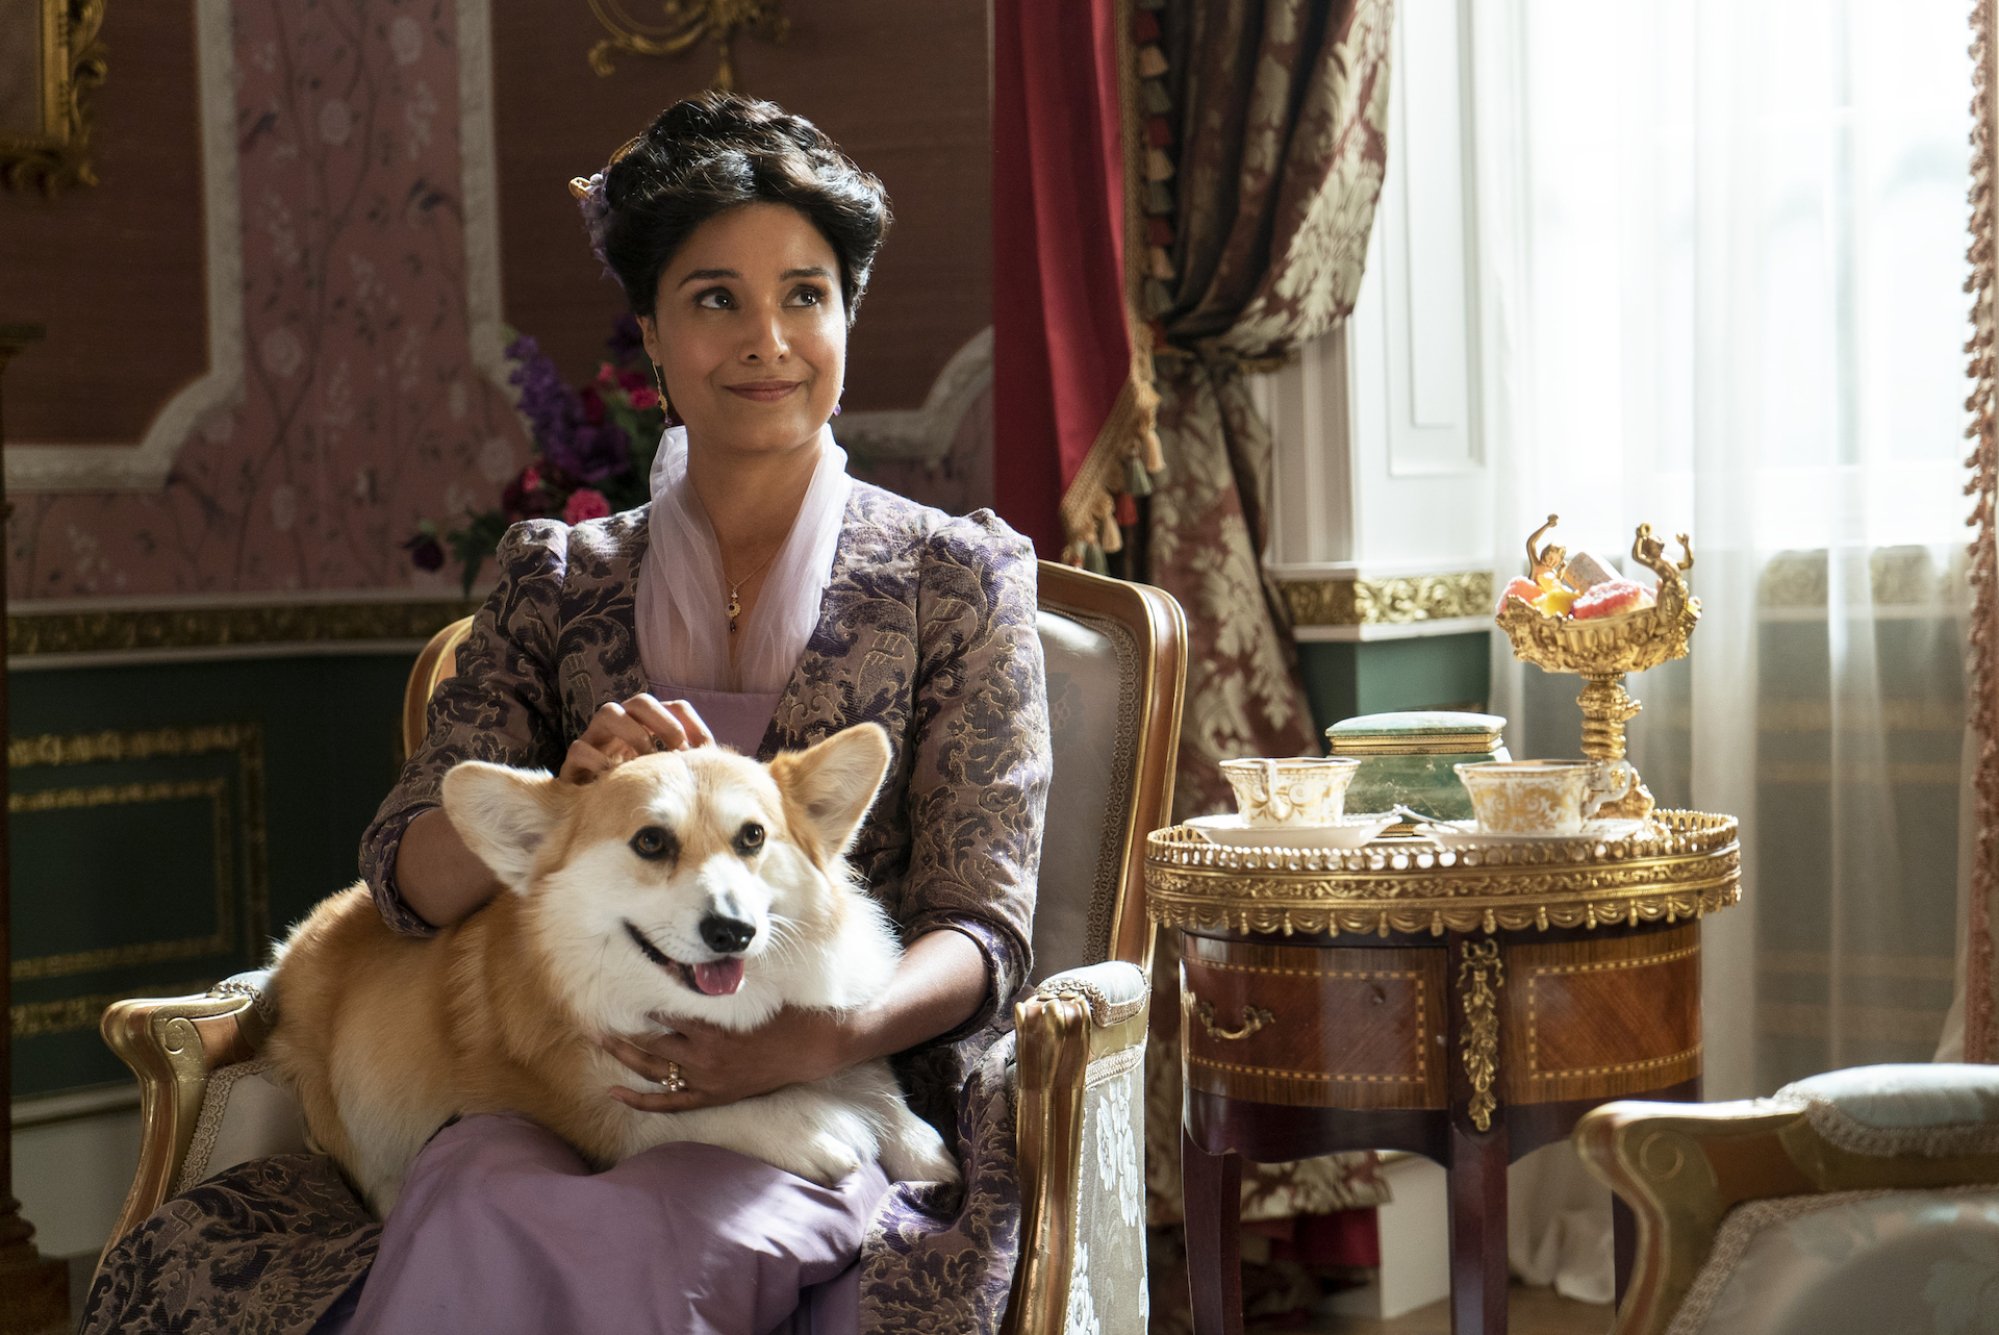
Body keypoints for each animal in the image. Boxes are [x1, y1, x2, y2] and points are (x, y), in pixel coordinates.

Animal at [267, 723, 959, 1215]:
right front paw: (815, 1128)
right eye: (651, 841)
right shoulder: (609, 1116)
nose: (732, 931)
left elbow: (872, 1077)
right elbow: (695, 1115)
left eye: (753, 837)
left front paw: (919, 1144)